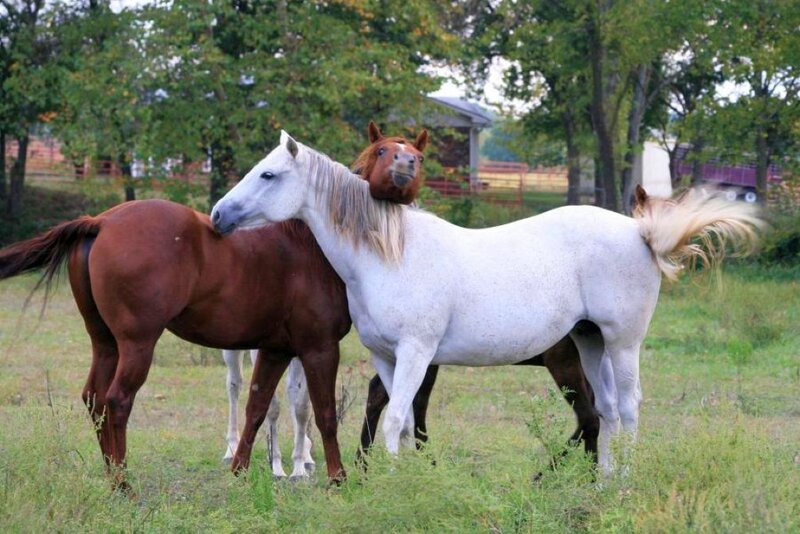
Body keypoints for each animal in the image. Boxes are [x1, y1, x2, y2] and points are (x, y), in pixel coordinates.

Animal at [0, 125, 426, 490]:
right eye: (385, 151)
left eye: (416, 155)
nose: (406, 168)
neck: (312, 248)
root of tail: (101, 222)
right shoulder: (319, 348)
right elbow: (323, 413)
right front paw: (337, 478)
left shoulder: (275, 349)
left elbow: (258, 406)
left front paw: (241, 471)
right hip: (137, 344)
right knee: (117, 401)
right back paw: (123, 485)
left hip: (105, 342)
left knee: (94, 399)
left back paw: (111, 477)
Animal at [211, 132, 762, 475]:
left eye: (267, 175)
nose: (217, 215)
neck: (390, 255)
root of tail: (639, 231)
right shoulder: (388, 357)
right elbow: (402, 421)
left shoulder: (416, 353)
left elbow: (392, 419)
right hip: (588, 343)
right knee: (603, 412)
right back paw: (602, 484)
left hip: (623, 344)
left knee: (626, 410)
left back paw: (622, 485)